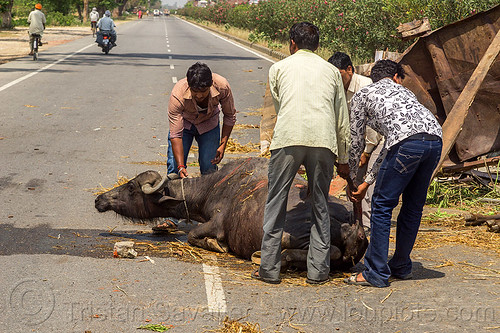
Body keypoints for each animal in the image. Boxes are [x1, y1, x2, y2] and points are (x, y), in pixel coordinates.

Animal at [94, 156, 368, 270]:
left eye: (131, 187)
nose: (99, 199)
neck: (211, 188)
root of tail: (352, 227)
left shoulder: (215, 224)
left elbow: (192, 235)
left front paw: (216, 245)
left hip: (291, 235)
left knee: (325, 251)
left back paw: (274, 257)